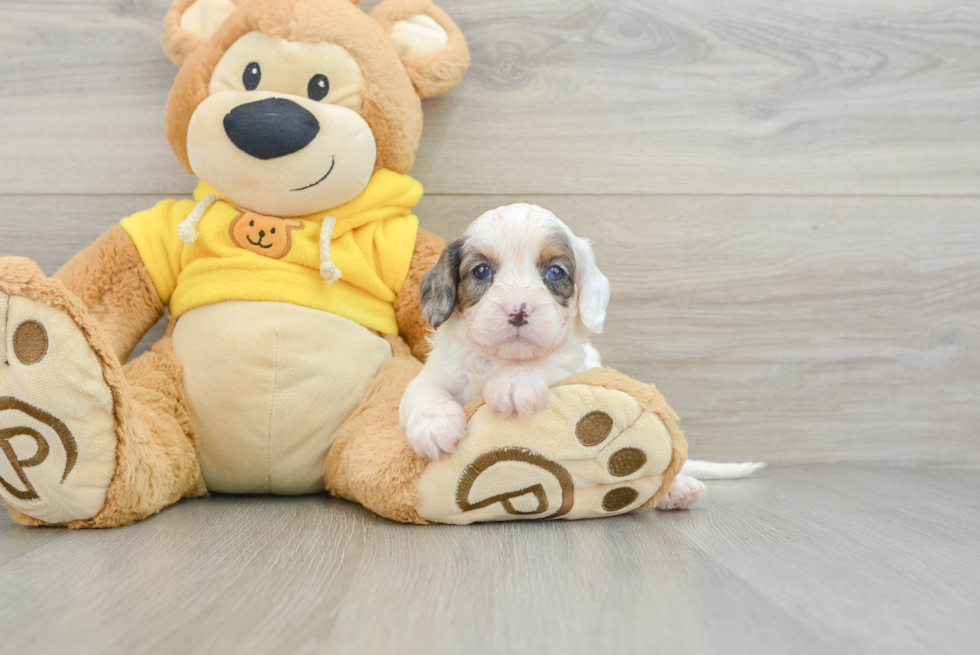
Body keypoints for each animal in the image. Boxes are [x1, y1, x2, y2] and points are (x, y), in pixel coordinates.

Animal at [396, 205, 608, 462]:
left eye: (555, 272)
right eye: (481, 271)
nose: (518, 311)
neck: (498, 360)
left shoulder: (573, 371)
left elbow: (546, 364)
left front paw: (514, 381)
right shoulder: (438, 372)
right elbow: (422, 390)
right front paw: (434, 425)